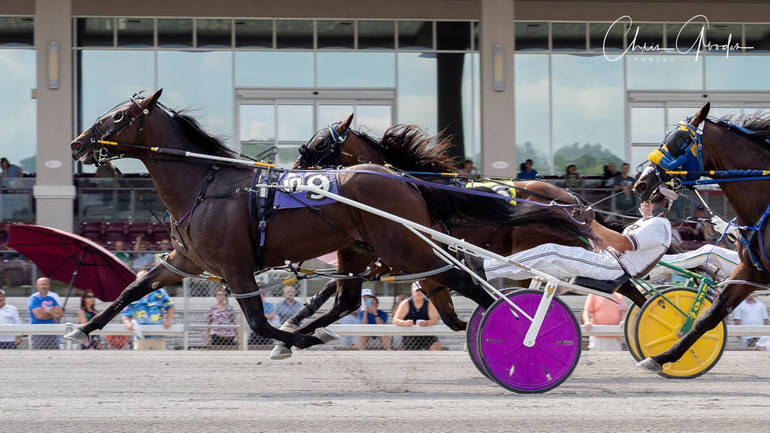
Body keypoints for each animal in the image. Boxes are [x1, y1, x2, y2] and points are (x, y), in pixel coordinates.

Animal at [63, 89, 591, 351]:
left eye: (118, 118)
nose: (77, 142)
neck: (207, 182)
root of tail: (403, 179)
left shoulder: (235, 265)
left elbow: (260, 319)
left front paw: (299, 337)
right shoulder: (186, 261)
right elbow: (133, 289)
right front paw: (81, 330)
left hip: (404, 248)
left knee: (467, 284)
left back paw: (525, 333)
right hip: (372, 247)